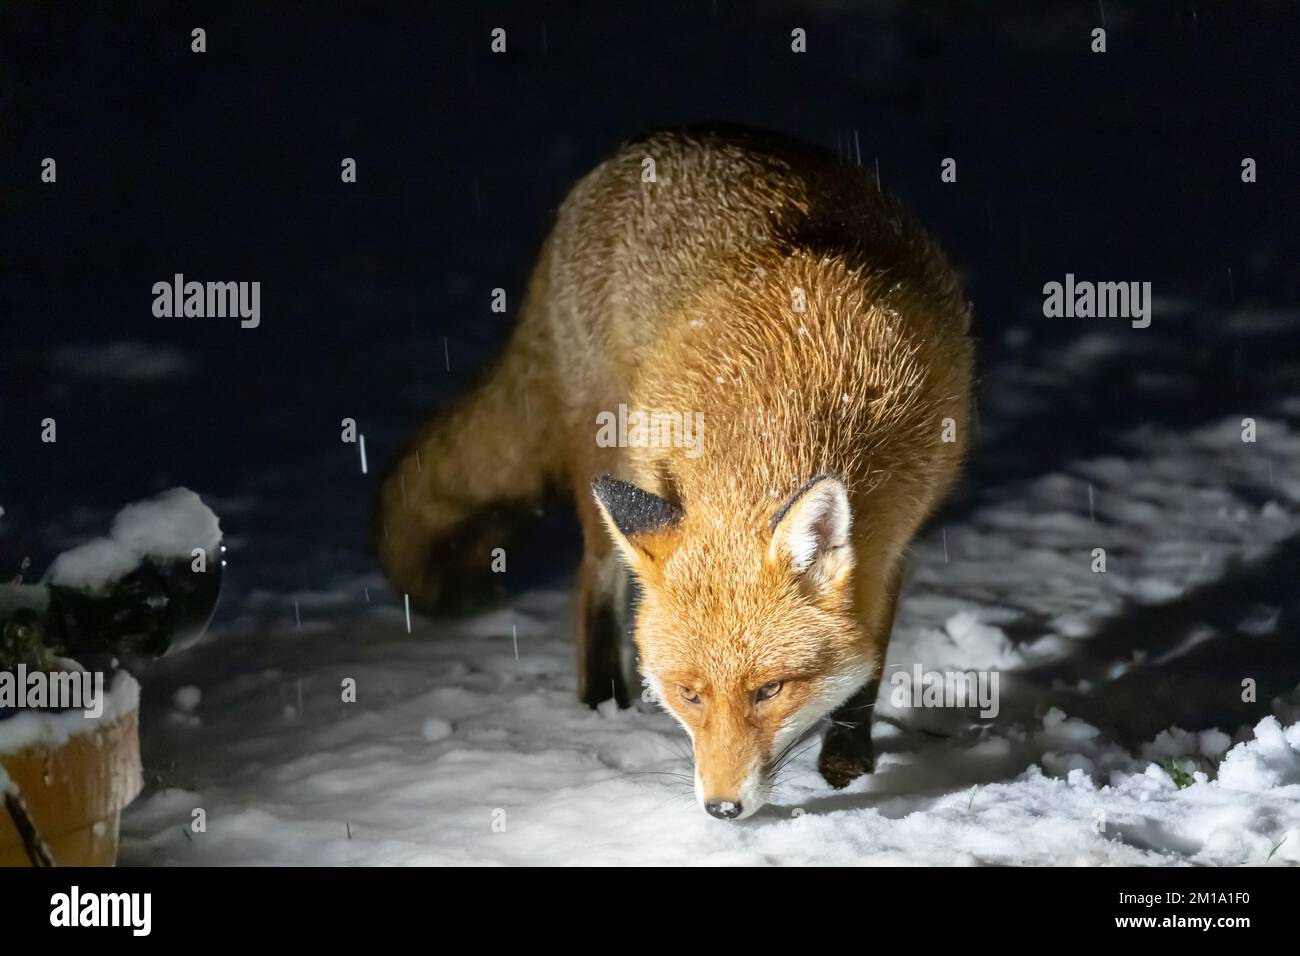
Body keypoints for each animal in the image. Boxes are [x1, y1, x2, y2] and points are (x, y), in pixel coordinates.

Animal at [371, 127, 972, 816]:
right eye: (690, 694)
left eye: (770, 690)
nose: (722, 809)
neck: (788, 406)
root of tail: (629, 153)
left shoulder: (892, 541)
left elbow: (867, 666)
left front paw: (848, 762)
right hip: (606, 460)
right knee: (591, 581)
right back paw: (601, 702)